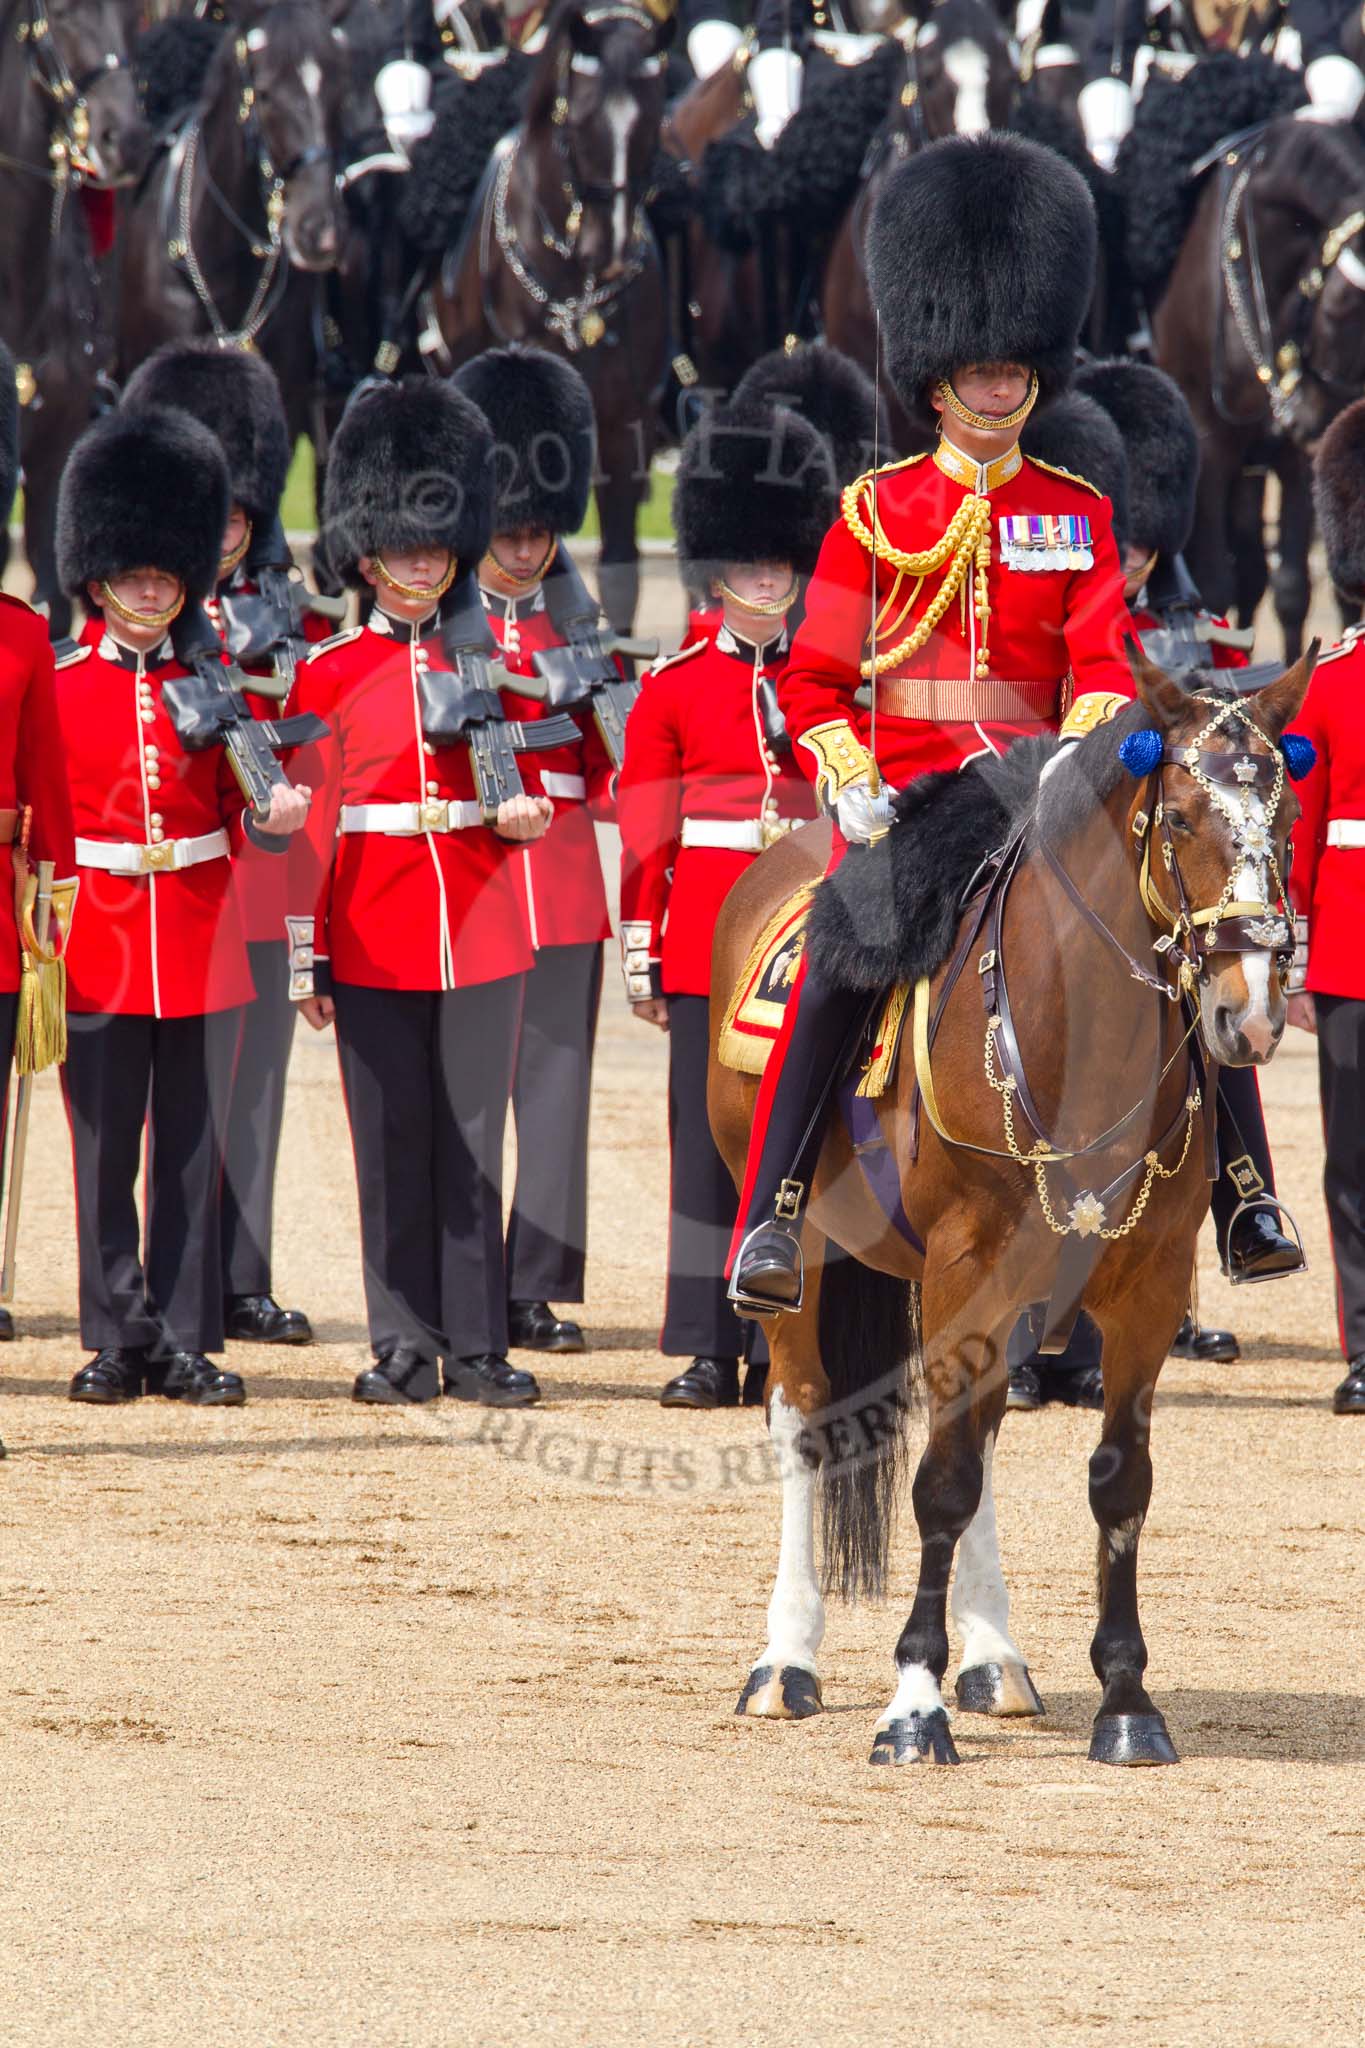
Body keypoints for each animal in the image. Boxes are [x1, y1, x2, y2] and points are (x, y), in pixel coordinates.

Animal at [707, 650, 1311, 1766]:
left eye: (1286, 821)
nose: (1246, 1015)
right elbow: (938, 1480)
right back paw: (786, 1659)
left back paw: (991, 1655)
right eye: (1179, 821)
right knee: (805, 1418)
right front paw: (912, 1703)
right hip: (804, 1257)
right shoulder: (966, 1267)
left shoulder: (1145, 1288)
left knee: (980, 1431)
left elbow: (1116, 1483)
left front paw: (1125, 1700)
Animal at [1151, 114, 1365, 660]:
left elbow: (1291, 589)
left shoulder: (1293, 458)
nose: (1314, 421)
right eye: (1339, 309)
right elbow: (1214, 583)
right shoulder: (1210, 444)